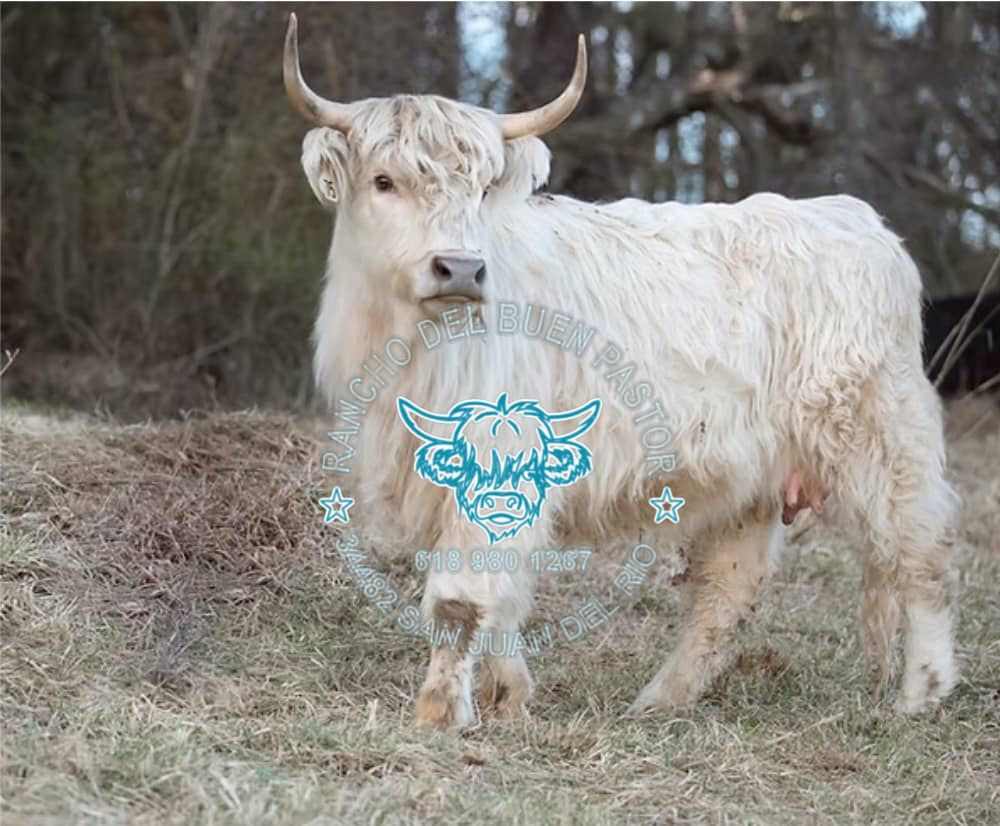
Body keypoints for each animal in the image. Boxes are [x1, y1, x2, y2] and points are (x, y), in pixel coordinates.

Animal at [285, 14, 959, 729]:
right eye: (383, 181)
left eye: (482, 188)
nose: (461, 268)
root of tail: (856, 220)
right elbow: (505, 593)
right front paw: (507, 695)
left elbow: (461, 598)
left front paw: (440, 713)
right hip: (752, 477)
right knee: (729, 589)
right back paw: (660, 700)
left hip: (884, 440)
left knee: (921, 552)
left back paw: (922, 693)